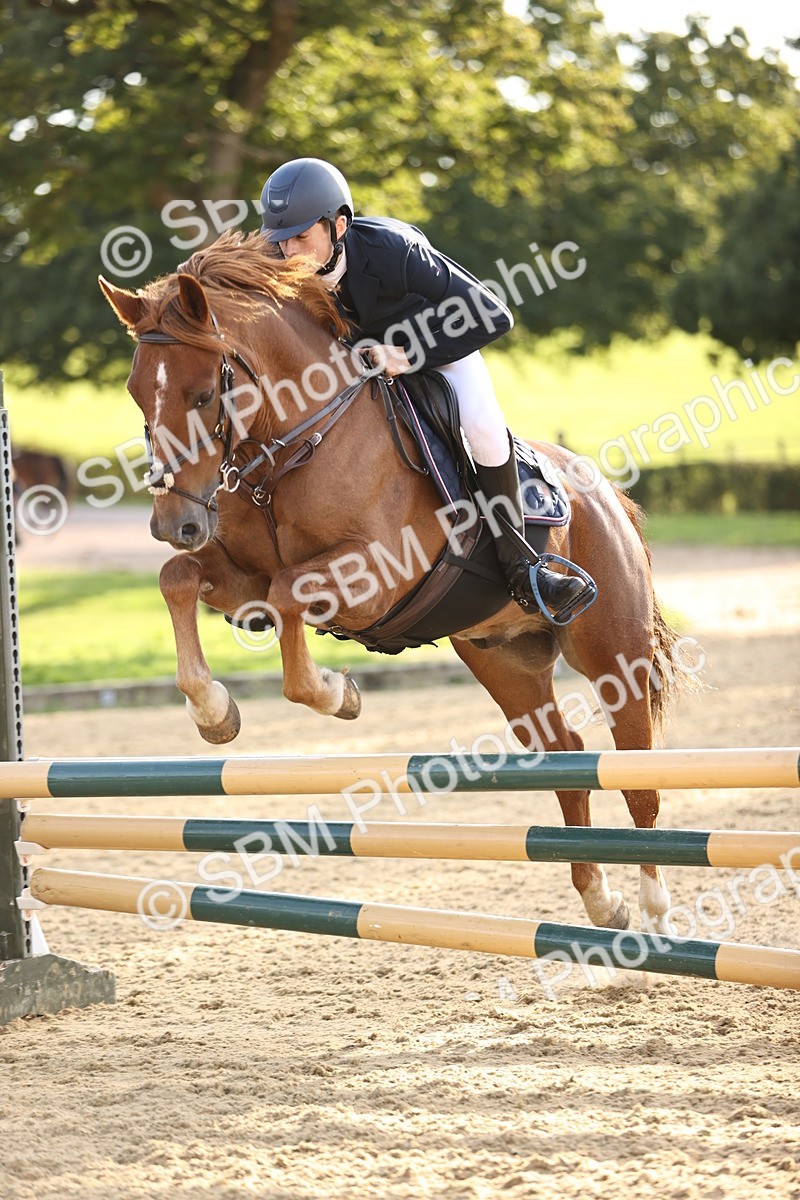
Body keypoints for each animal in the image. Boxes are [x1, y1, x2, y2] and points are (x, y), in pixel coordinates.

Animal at [99, 230, 682, 935]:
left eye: (204, 395)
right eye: (137, 394)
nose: (174, 522)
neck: (295, 439)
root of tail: (605, 491)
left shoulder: (374, 574)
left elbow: (289, 596)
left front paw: (335, 693)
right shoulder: (239, 577)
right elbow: (181, 579)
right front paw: (215, 712)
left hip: (613, 653)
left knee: (635, 771)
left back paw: (654, 910)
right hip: (506, 660)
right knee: (566, 755)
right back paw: (603, 900)